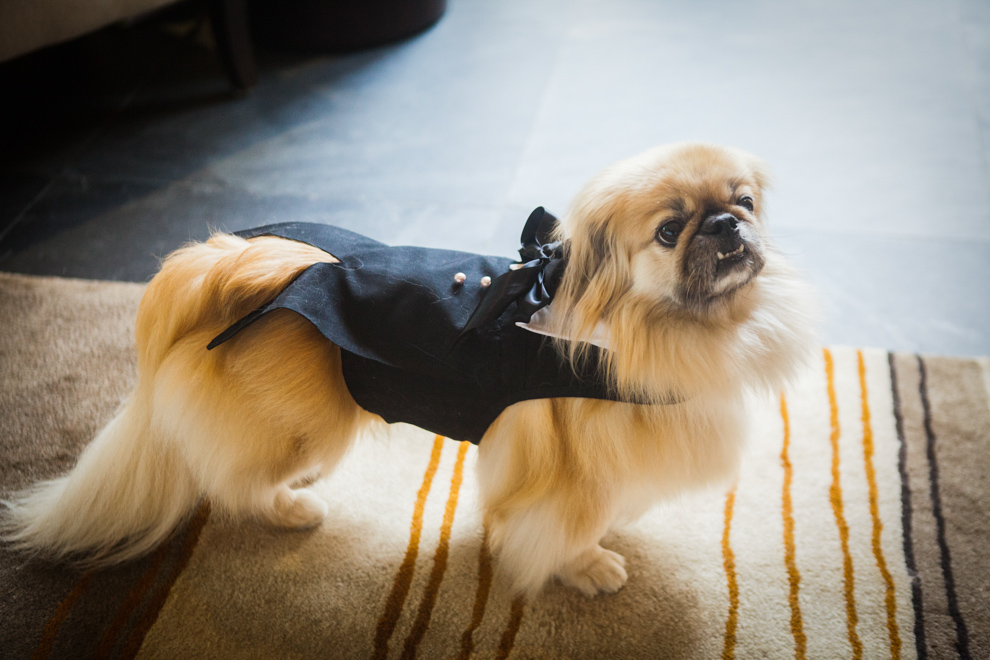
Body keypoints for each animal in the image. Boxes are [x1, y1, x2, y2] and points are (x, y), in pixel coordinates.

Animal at [3, 144, 816, 600]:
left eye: (743, 202)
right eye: (671, 231)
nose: (726, 224)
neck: (663, 329)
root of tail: (224, 267)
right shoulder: (566, 475)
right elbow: (562, 527)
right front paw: (587, 568)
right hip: (308, 427)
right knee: (236, 482)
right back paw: (292, 509)